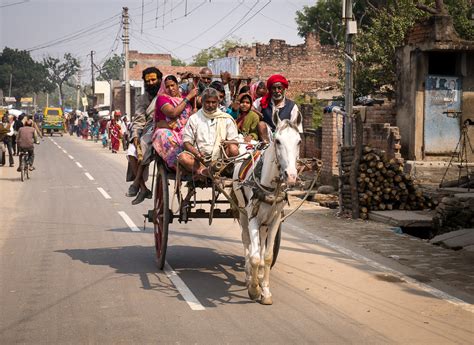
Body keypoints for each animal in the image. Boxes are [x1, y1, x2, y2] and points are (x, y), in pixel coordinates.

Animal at [233, 111, 304, 302]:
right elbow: (255, 256)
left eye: (299, 141)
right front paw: (254, 289)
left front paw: (265, 290)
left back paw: (256, 275)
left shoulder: (275, 220)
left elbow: (267, 256)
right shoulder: (252, 218)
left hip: (264, 220)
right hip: (243, 214)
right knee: (246, 241)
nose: (291, 175)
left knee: (261, 243)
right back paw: (249, 274)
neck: (271, 187)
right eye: (278, 141)